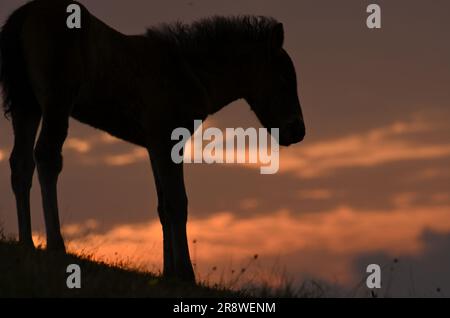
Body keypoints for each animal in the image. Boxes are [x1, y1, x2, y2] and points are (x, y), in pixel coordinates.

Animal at [0, 0, 306, 284]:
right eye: (284, 78)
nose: (298, 131)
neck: (189, 72)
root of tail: (25, 13)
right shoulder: (168, 139)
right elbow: (177, 202)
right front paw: (185, 274)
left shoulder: (154, 145)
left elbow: (162, 207)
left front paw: (168, 272)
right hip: (57, 102)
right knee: (47, 158)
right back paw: (56, 245)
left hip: (27, 105)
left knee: (21, 164)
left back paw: (27, 243)